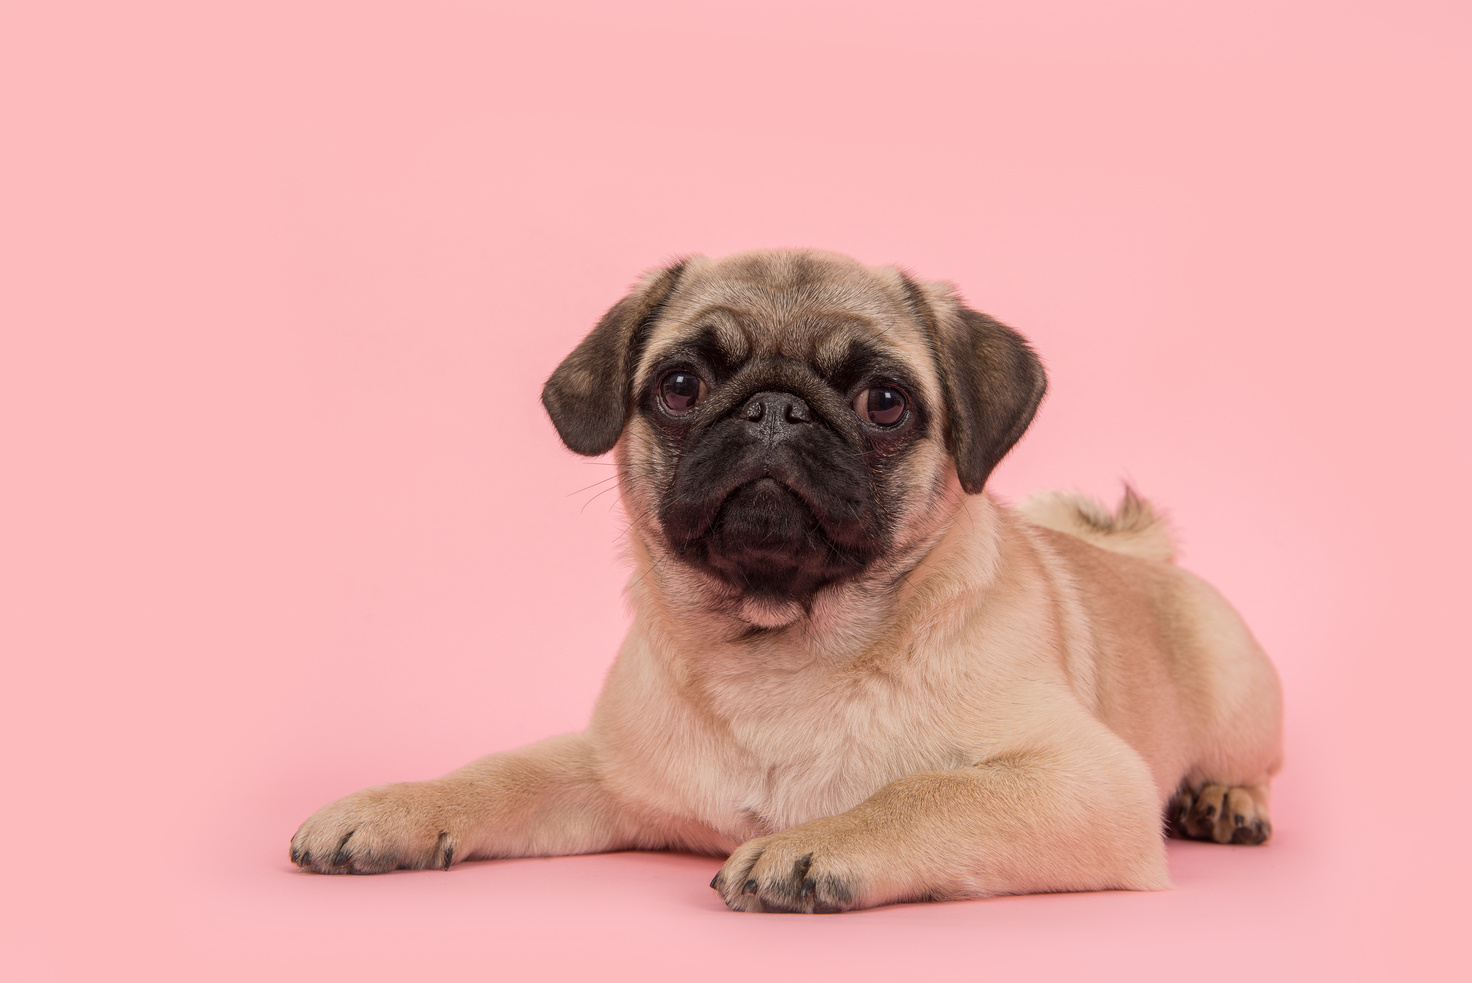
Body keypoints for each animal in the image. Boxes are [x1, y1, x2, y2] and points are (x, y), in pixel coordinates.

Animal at [292, 250, 1283, 912]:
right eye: (680, 385)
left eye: (885, 402)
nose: (776, 407)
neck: (779, 647)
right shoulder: (606, 774)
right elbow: (498, 773)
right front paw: (392, 808)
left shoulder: (1085, 780)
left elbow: (928, 791)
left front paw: (812, 847)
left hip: (1236, 685)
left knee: (1249, 764)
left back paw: (1226, 799)